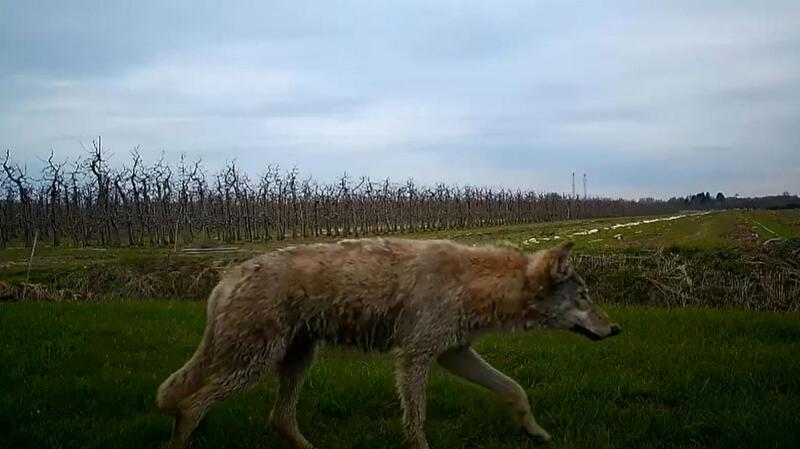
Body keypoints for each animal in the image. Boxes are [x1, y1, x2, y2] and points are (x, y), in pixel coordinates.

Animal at [155, 238, 620, 444]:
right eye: (584, 297)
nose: (616, 330)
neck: (474, 282)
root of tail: (226, 277)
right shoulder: (415, 358)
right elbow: (416, 423)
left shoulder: (454, 354)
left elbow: (515, 390)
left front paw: (536, 432)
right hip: (253, 365)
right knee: (190, 407)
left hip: (296, 361)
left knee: (279, 418)